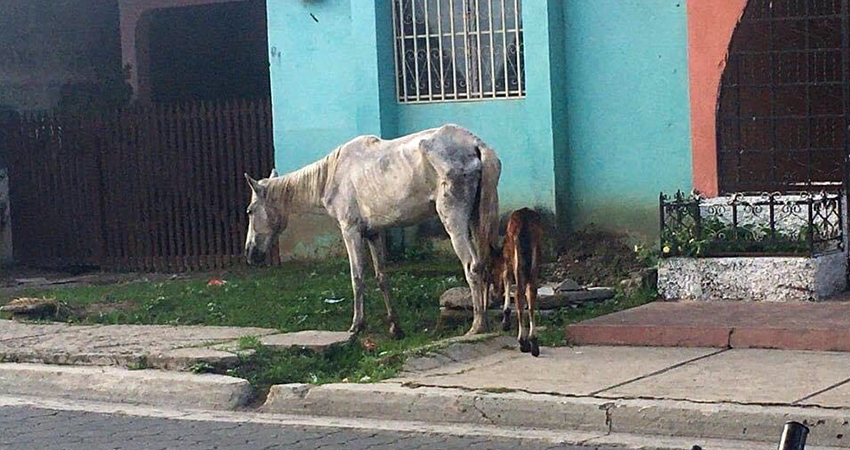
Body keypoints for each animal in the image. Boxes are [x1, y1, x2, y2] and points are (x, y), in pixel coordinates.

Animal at [243, 125, 496, 336]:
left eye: (250, 211)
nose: (250, 253)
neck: (331, 175)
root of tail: (475, 144)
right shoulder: (373, 233)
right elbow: (381, 277)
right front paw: (395, 327)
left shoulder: (350, 230)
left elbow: (357, 276)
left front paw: (357, 325)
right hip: (475, 221)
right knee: (483, 264)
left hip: (454, 222)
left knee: (471, 266)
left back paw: (477, 325)